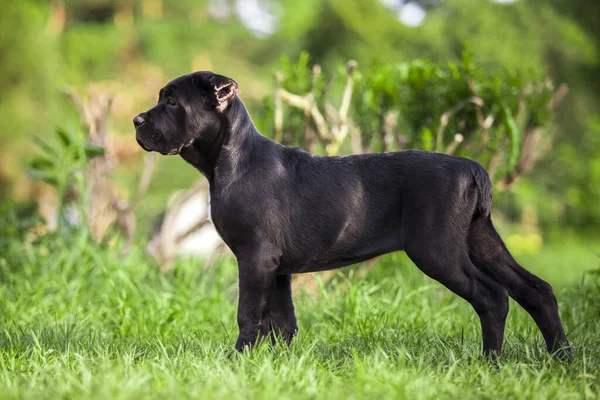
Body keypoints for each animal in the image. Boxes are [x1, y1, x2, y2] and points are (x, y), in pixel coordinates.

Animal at [136, 70, 572, 358]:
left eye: (172, 102)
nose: (137, 120)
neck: (232, 159)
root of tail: (472, 168)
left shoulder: (255, 258)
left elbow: (249, 315)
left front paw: (238, 360)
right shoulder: (277, 267)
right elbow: (281, 320)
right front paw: (276, 364)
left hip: (438, 251)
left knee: (493, 296)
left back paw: (490, 362)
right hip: (482, 240)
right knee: (536, 289)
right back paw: (560, 358)